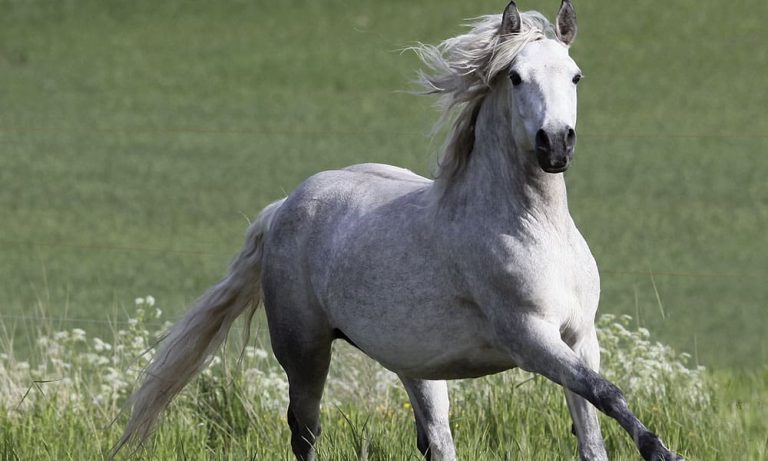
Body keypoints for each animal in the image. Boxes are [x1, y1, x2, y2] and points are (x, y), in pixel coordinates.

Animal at [113, 2, 684, 460]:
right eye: (517, 77)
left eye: (575, 75)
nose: (556, 145)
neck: (533, 229)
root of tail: (284, 207)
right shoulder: (529, 337)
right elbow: (607, 393)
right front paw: (662, 452)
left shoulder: (580, 335)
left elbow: (593, 426)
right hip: (304, 352)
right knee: (305, 431)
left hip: (418, 368)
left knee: (436, 441)